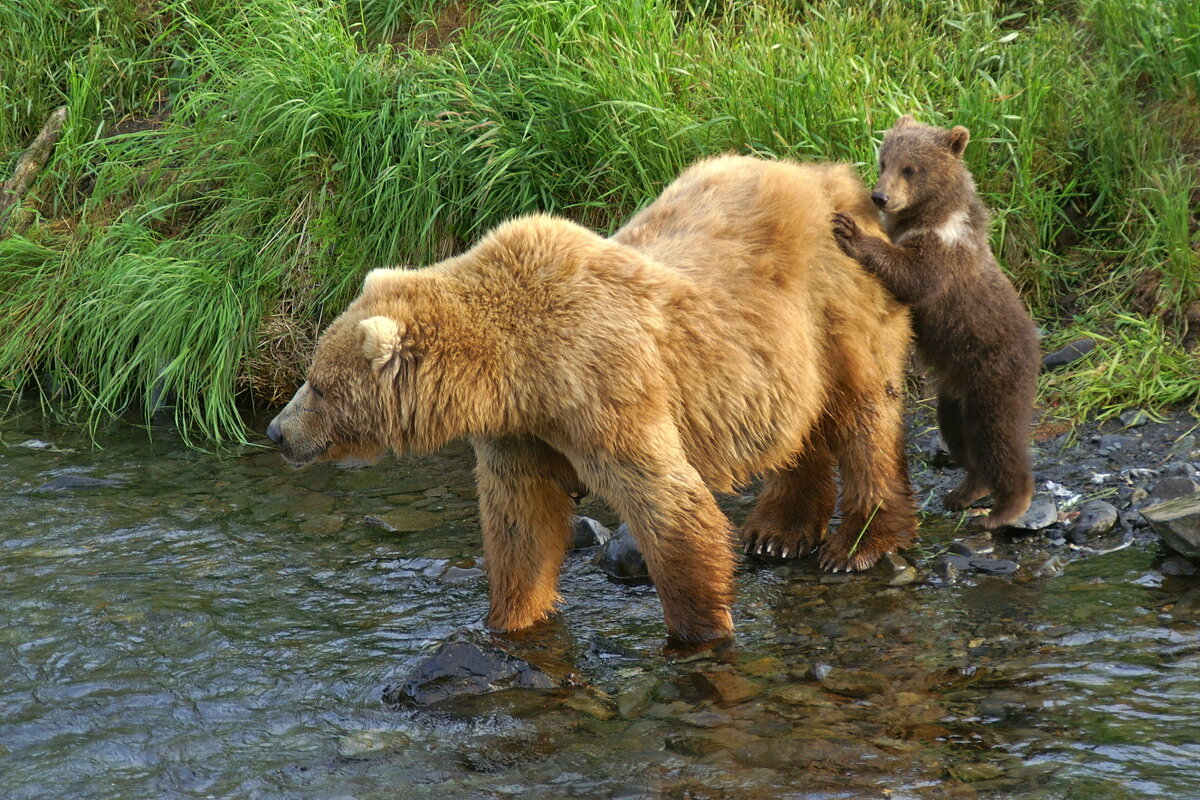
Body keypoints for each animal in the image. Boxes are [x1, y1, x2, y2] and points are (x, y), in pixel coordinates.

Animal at [267, 154, 912, 642]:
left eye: (318, 383)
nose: (277, 431)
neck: (523, 372)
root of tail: (831, 176)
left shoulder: (605, 392)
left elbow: (671, 507)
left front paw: (702, 630)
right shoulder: (520, 431)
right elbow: (521, 524)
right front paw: (510, 619)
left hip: (837, 300)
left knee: (863, 410)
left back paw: (856, 543)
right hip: (778, 360)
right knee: (796, 426)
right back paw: (778, 532)